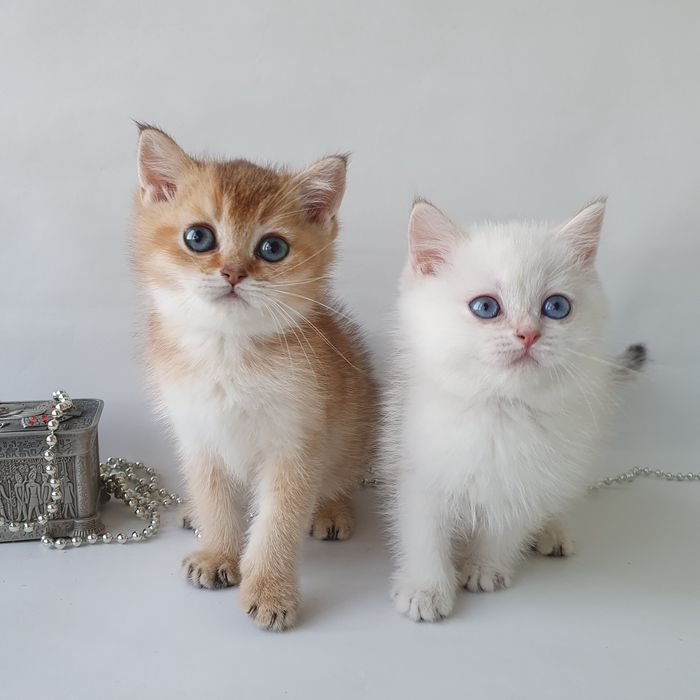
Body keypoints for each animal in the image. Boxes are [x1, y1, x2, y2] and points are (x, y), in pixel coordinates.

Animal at [131, 125, 378, 631]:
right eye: (199, 237)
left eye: (272, 248)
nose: (232, 273)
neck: (229, 354)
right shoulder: (198, 435)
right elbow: (215, 499)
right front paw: (216, 552)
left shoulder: (295, 444)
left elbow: (277, 523)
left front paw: (269, 589)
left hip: (354, 427)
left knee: (341, 476)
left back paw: (332, 509)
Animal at [386, 197, 646, 622]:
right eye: (485, 307)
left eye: (556, 306)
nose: (528, 334)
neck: (500, 411)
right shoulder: (417, 466)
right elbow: (424, 532)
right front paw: (426, 588)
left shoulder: (527, 477)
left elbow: (506, 525)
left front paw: (485, 567)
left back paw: (553, 531)